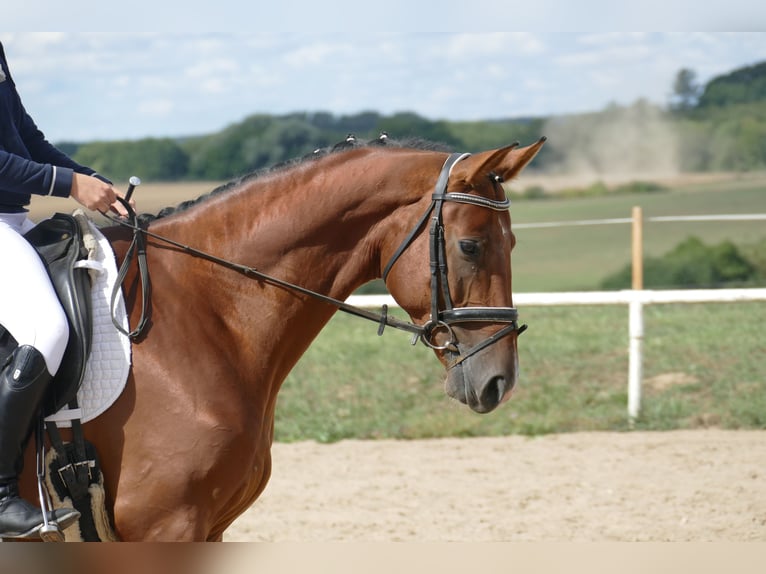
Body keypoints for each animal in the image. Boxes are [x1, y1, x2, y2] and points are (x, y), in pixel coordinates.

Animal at [19, 135, 545, 541]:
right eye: (470, 246)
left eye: (514, 243)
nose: (500, 381)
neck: (202, 308)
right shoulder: (166, 526)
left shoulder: (208, 527)